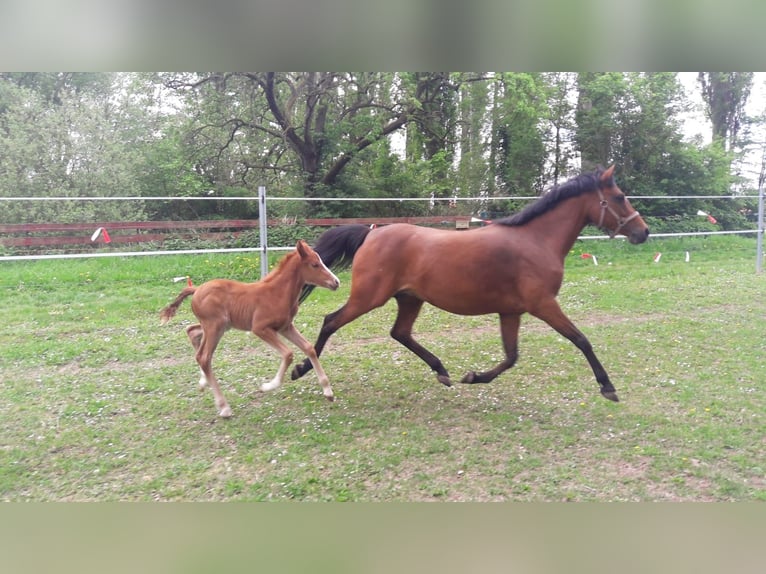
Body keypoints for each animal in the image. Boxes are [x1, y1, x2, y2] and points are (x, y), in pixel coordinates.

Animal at [160, 242, 340, 418]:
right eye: (315, 264)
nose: (336, 282)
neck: (277, 292)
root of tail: (196, 290)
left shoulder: (285, 327)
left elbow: (309, 348)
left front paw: (328, 392)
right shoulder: (260, 328)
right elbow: (288, 354)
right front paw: (268, 386)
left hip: (217, 326)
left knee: (192, 333)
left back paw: (203, 382)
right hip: (214, 326)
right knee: (204, 357)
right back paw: (224, 407)